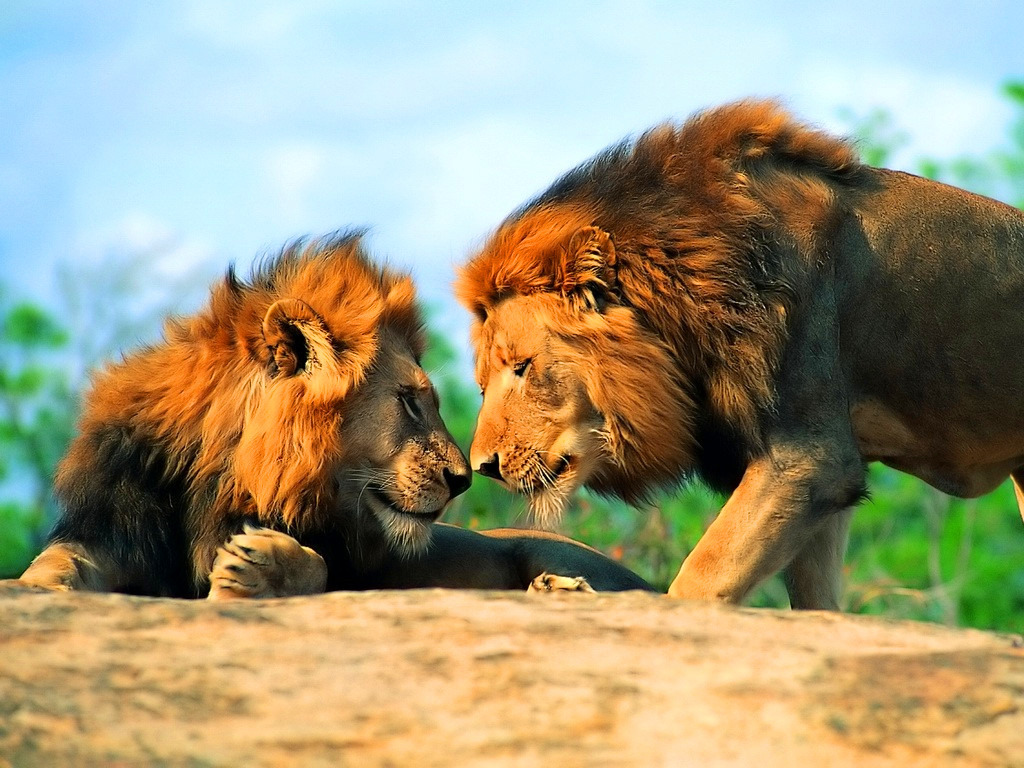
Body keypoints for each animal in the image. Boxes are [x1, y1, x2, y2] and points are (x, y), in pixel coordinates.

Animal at [19, 234, 651, 602]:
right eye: (410, 400)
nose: (463, 481)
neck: (220, 485)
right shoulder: (112, 529)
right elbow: (58, 562)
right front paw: (38, 587)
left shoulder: (353, 570)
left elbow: (318, 566)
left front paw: (256, 569)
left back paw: (561, 589)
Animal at [456, 99, 1024, 610]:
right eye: (483, 384)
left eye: (523, 368)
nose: (484, 466)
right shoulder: (819, 478)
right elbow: (814, 601)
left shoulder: (811, 458)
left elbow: (703, 575)